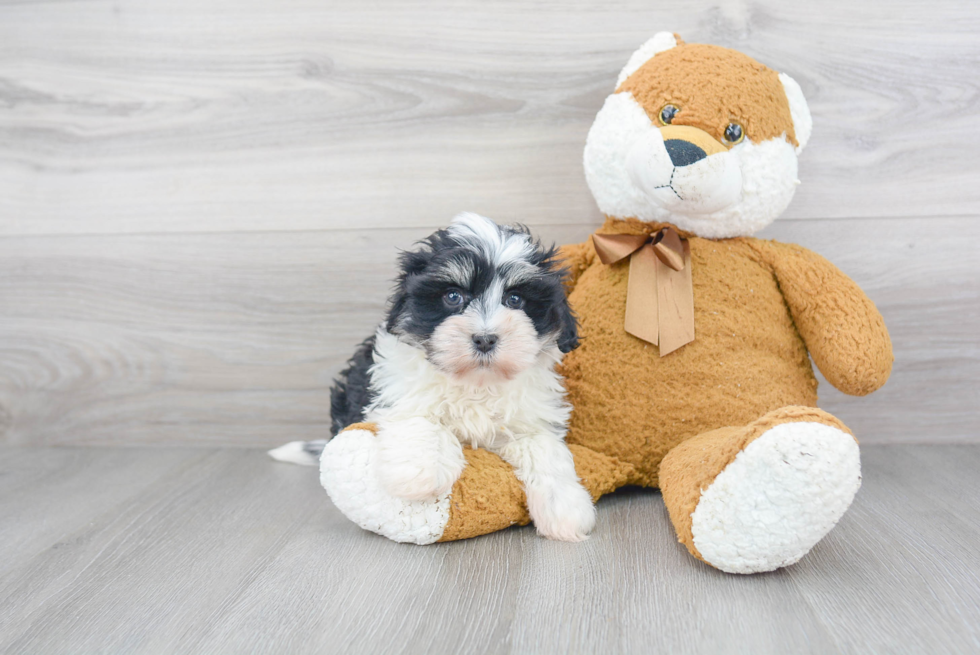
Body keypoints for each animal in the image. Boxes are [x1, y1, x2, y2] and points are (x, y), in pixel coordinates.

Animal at [270, 211, 596, 544]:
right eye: (453, 296)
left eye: (515, 299)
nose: (485, 338)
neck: (475, 382)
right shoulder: (395, 388)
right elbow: (420, 417)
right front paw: (421, 475)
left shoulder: (530, 417)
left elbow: (545, 448)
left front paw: (566, 508)